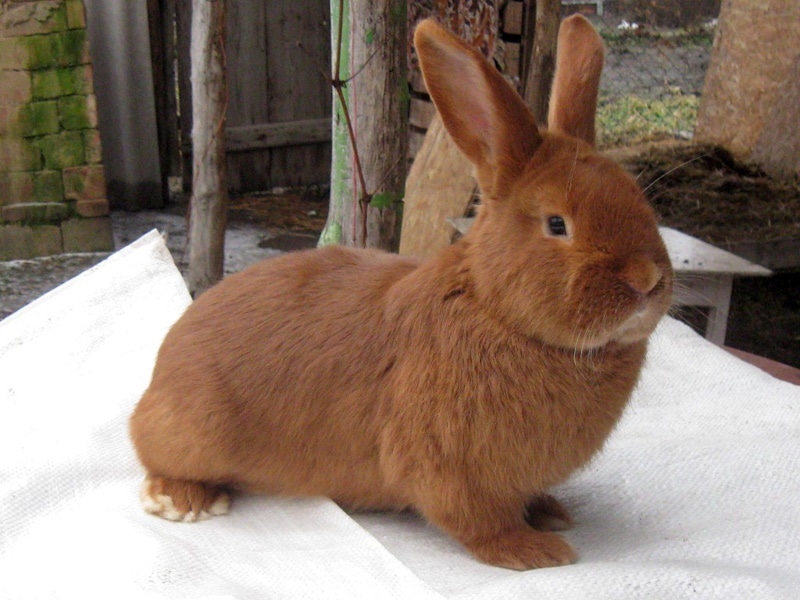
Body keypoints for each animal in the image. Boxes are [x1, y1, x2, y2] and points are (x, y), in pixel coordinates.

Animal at [130, 14, 673, 570]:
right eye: (557, 224)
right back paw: (183, 501)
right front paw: (536, 551)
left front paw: (550, 513)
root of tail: (159, 372)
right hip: (195, 429)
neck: (494, 309)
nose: (646, 280)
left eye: (637, 198)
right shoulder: (446, 467)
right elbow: (479, 522)